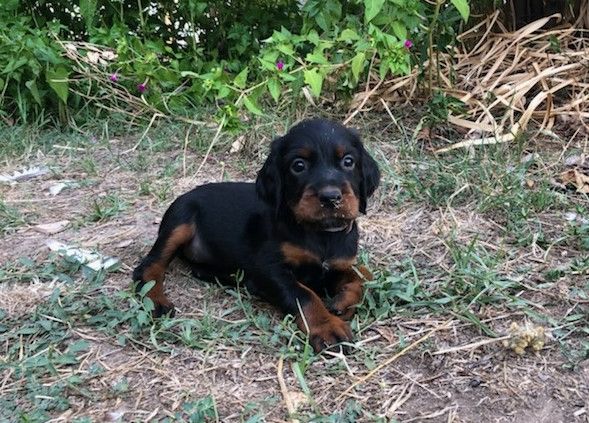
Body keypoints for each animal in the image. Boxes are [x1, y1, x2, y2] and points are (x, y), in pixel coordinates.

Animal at [133, 118, 378, 352]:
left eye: (348, 161)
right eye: (298, 165)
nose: (330, 197)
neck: (321, 233)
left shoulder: (337, 263)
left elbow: (364, 274)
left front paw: (343, 302)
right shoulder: (268, 269)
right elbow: (304, 294)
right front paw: (326, 327)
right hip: (180, 219)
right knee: (149, 265)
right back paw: (155, 300)